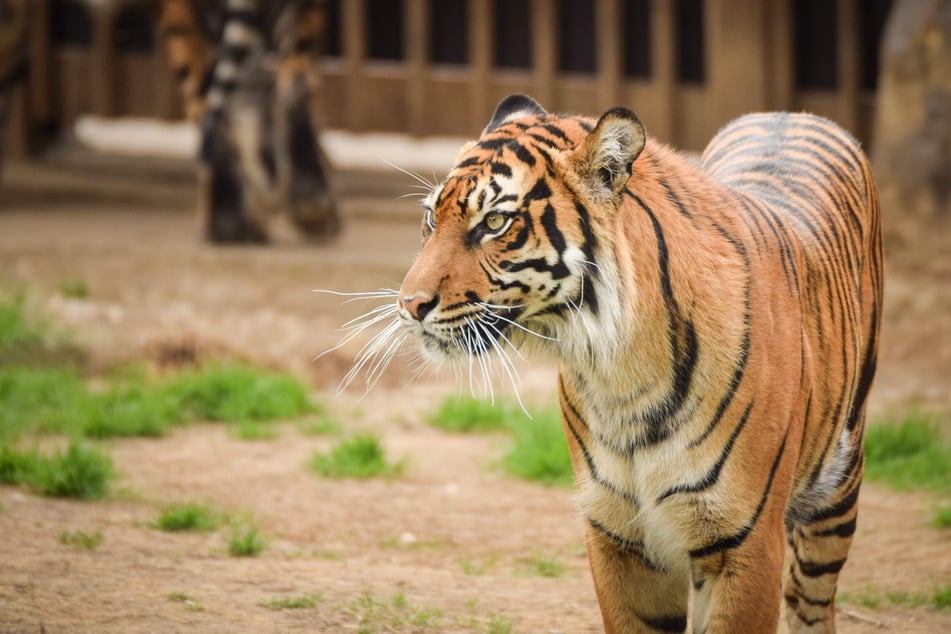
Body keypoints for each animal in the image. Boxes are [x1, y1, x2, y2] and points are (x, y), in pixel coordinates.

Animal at [389, 94, 883, 632]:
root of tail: (790, 113)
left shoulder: (746, 542)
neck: (620, 373)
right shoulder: (618, 536)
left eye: (495, 223)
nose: (410, 304)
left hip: (836, 492)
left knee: (811, 600)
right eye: (431, 219)